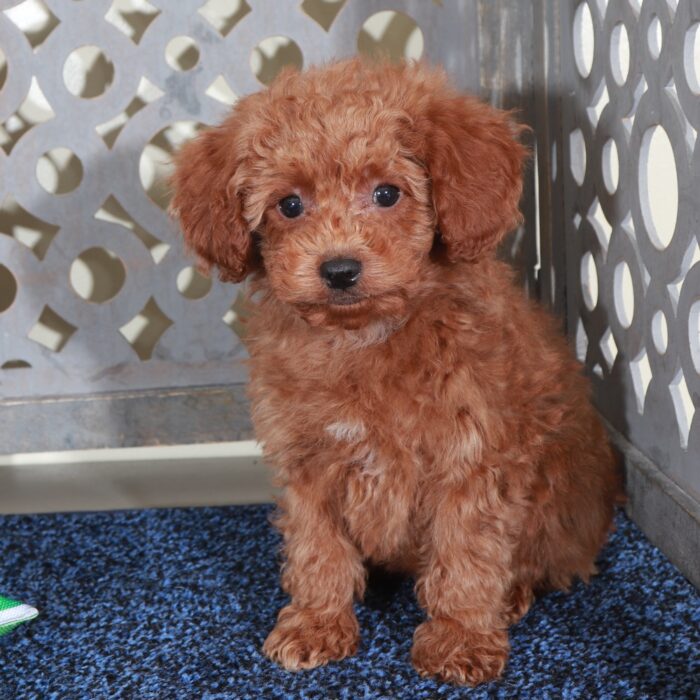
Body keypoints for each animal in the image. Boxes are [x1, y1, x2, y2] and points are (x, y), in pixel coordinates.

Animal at [170, 58, 616, 684]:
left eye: (387, 194)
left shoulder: (470, 458)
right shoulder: (308, 461)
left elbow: (466, 553)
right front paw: (317, 622)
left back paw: (511, 594)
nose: (338, 269)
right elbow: (316, 548)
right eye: (289, 205)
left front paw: (459, 637)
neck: (365, 337)